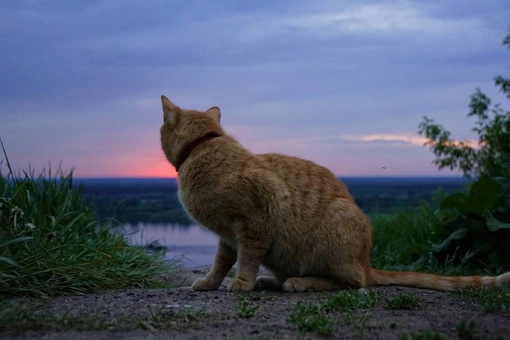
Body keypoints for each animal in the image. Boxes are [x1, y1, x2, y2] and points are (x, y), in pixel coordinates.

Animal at [159, 95, 510, 292]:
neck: (202, 148)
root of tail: (366, 261)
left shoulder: (256, 219)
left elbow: (246, 259)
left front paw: (242, 284)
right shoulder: (228, 235)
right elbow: (220, 262)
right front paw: (210, 283)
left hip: (336, 231)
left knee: (354, 283)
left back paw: (300, 282)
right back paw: (273, 280)